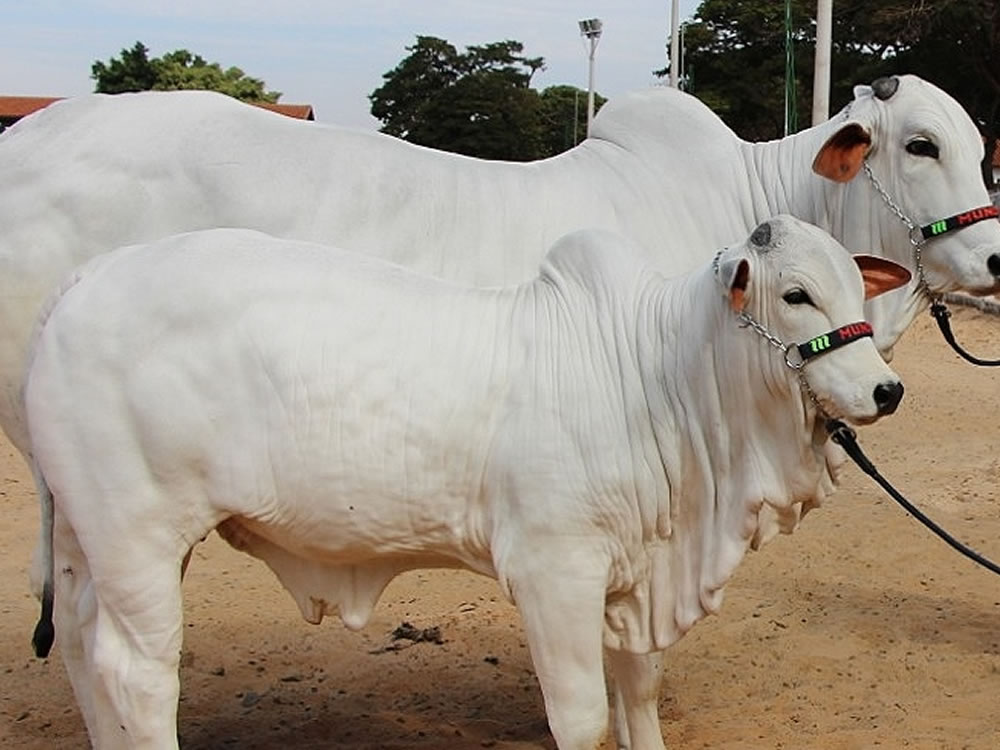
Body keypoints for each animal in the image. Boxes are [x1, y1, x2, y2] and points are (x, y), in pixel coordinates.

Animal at [27, 214, 912, 748]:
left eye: (853, 284)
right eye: (795, 294)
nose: (885, 391)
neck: (659, 373)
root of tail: (84, 280)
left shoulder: (632, 574)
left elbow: (640, 688)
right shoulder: (556, 572)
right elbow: (584, 717)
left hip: (88, 541)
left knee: (80, 644)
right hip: (139, 539)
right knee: (136, 676)